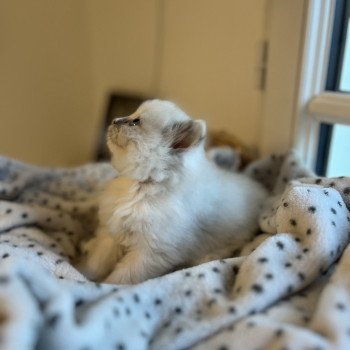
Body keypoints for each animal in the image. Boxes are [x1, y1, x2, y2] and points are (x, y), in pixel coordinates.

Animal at [78, 99, 266, 284]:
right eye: (132, 115)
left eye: (135, 122)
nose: (114, 120)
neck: (146, 184)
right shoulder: (112, 235)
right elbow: (97, 262)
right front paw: (85, 275)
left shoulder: (149, 253)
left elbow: (122, 278)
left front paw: (104, 287)